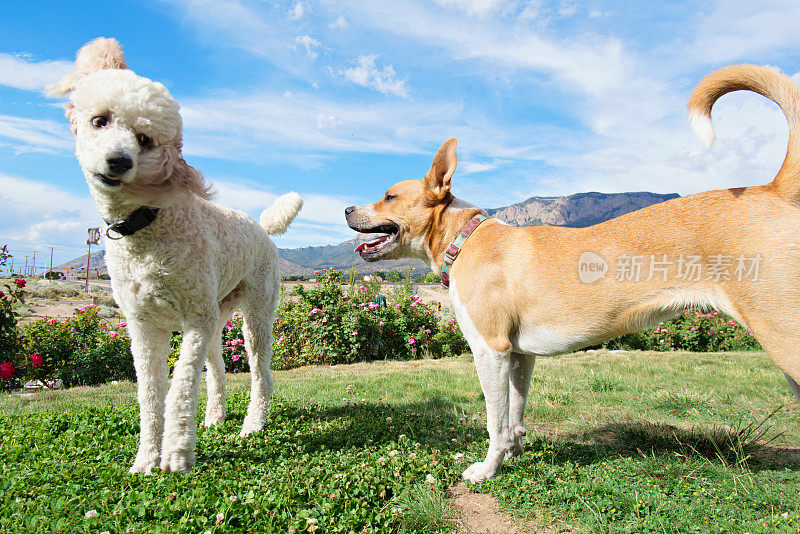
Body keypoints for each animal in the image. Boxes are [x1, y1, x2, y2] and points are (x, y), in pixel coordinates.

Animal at [346, 63, 800, 486]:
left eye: (388, 196)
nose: (347, 208)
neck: (465, 238)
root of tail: (773, 189)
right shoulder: (519, 356)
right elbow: (514, 415)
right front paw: (512, 455)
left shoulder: (491, 350)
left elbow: (495, 420)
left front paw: (488, 469)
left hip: (784, 338)